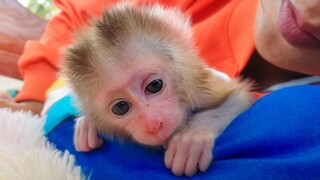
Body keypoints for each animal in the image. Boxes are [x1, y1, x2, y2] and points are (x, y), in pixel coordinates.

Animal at [62, 2, 254, 177]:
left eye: (155, 85)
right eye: (121, 107)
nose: (153, 124)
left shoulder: (200, 87)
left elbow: (240, 98)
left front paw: (191, 136)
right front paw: (86, 124)